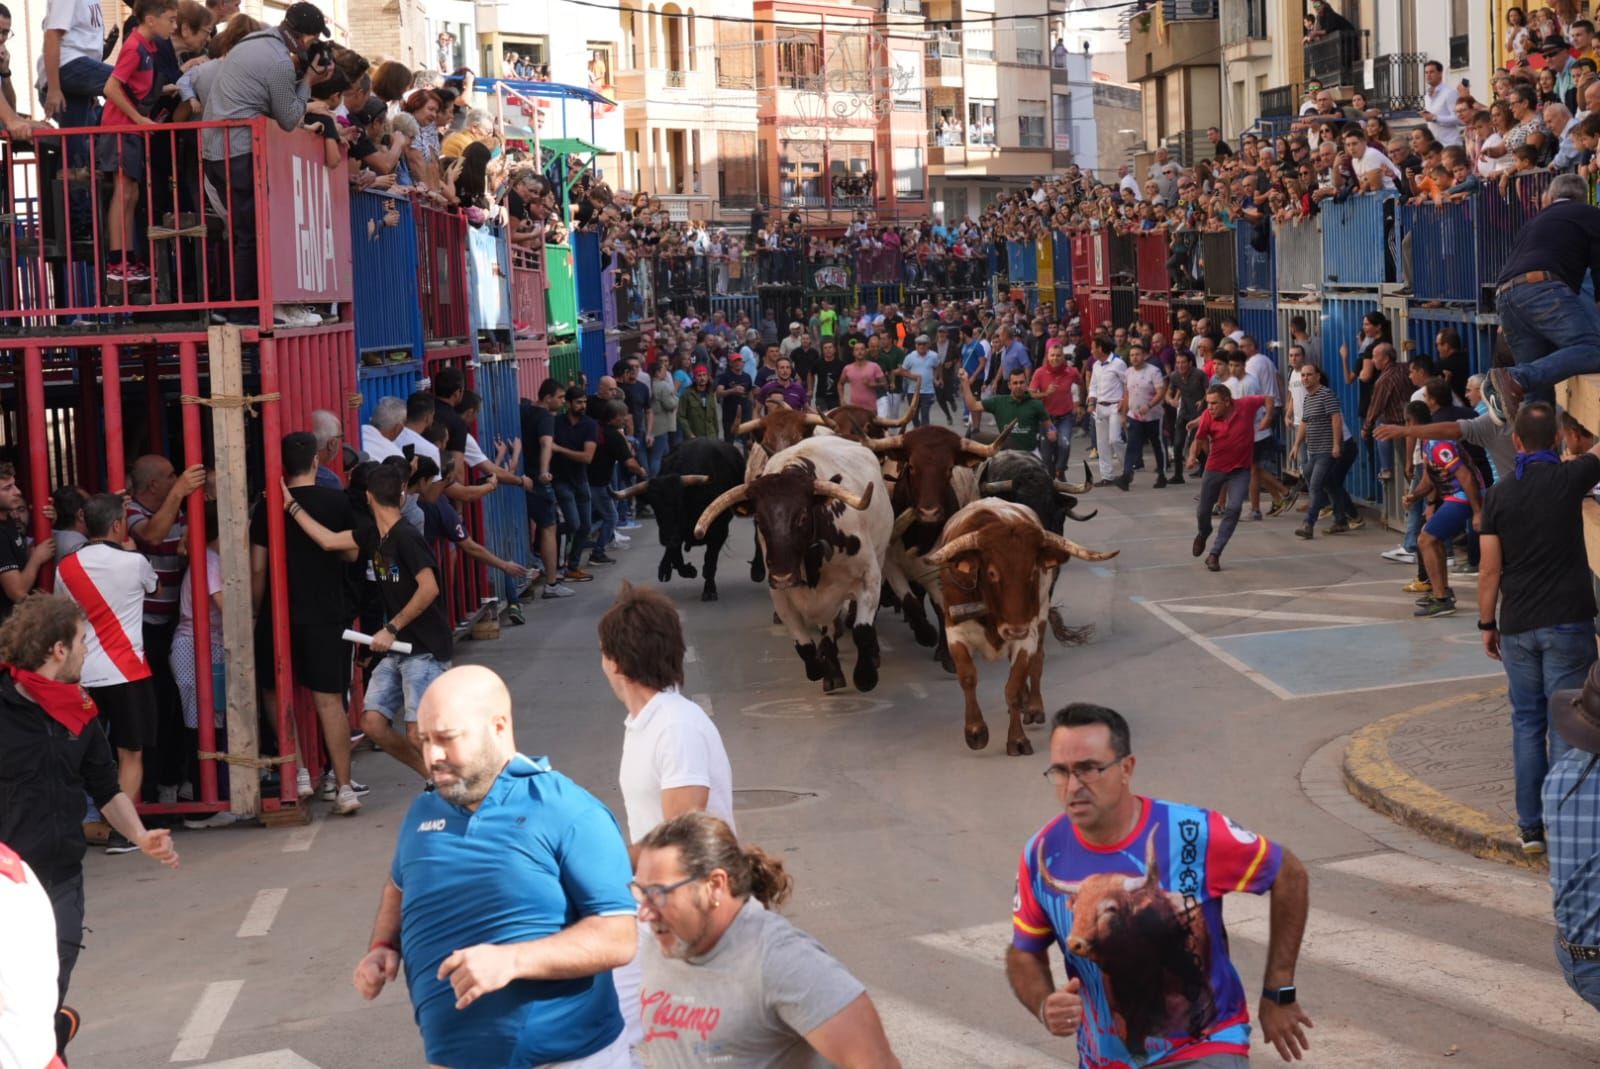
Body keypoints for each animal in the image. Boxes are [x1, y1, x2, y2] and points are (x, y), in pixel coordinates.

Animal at [694, 435, 896, 694]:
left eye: (802, 517)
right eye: (759, 520)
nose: (783, 576)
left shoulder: (868, 577)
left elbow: (862, 630)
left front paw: (866, 677)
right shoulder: (782, 597)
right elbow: (805, 646)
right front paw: (821, 668)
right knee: (828, 629)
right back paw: (832, 672)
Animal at [928, 499, 1113, 755]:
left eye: (1033, 571)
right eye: (992, 572)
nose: (1015, 629)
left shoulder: (1028, 634)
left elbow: (1013, 687)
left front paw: (1017, 739)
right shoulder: (955, 631)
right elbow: (968, 677)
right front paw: (975, 731)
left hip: (1041, 615)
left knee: (1037, 661)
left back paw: (1033, 706)